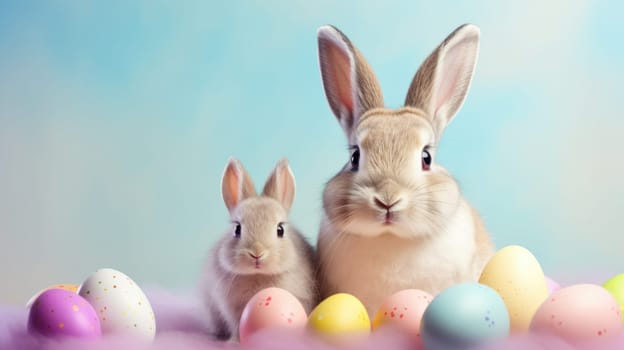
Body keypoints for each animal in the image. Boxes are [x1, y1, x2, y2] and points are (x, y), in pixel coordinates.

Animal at [201, 157, 316, 340]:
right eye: (237, 229)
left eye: (280, 230)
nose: (257, 253)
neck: (258, 275)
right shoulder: (233, 309)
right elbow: (237, 325)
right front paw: (235, 342)